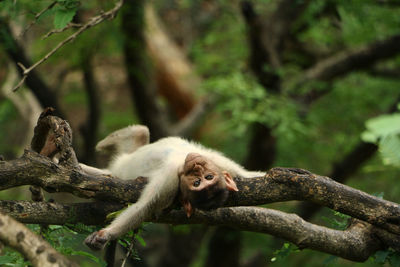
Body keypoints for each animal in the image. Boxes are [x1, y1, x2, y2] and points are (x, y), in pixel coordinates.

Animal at [81, 125, 264, 251]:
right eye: (205, 178)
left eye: (198, 182)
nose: (196, 166)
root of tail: (114, 169)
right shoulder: (222, 164)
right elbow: (249, 175)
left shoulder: (169, 183)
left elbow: (144, 207)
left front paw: (107, 234)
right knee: (141, 131)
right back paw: (101, 145)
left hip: (119, 169)